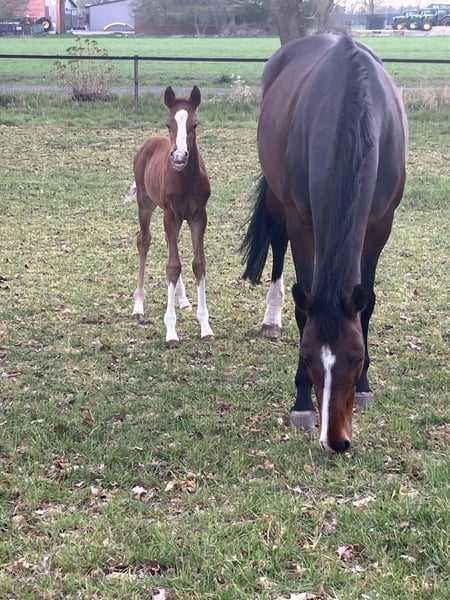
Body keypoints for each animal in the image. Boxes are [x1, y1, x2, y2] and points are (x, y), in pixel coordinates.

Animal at [130, 85, 214, 345]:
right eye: (168, 124)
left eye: (195, 124)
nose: (178, 157)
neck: (185, 179)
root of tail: (148, 143)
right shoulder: (170, 214)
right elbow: (172, 267)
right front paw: (171, 330)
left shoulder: (198, 216)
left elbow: (198, 264)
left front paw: (205, 326)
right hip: (145, 204)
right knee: (144, 241)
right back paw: (138, 306)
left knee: (171, 243)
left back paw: (183, 299)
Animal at [241, 34, 408, 453]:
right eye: (308, 356)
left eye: (357, 356)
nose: (336, 441)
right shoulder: (303, 222)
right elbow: (305, 310)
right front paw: (301, 402)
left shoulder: (380, 225)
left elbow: (367, 305)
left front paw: (364, 386)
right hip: (280, 201)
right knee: (278, 248)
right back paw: (271, 320)